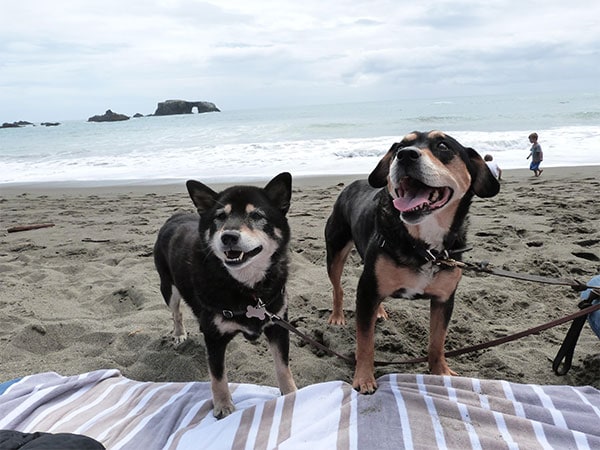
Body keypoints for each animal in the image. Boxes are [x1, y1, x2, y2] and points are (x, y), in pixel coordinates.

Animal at [154, 172, 296, 418]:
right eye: (220, 216)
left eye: (256, 215)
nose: (228, 236)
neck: (247, 288)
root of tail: (176, 215)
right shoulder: (214, 337)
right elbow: (218, 376)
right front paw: (223, 406)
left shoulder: (278, 325)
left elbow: (282, 367)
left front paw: (292, 393)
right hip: (168, 286)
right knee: (176, 312)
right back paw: (179, 333)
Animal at [326, 131, 500, 394]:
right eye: (399, 146)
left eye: (443, 146)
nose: (405, 155)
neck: (424, 247)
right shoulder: (366, 290)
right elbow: (365, 343)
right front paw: (364, 378)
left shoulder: (444, 299)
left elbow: (437, 341)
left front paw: (441, 372)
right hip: (335, 253)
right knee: (338, 288)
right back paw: (337, 316)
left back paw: (379, 312)